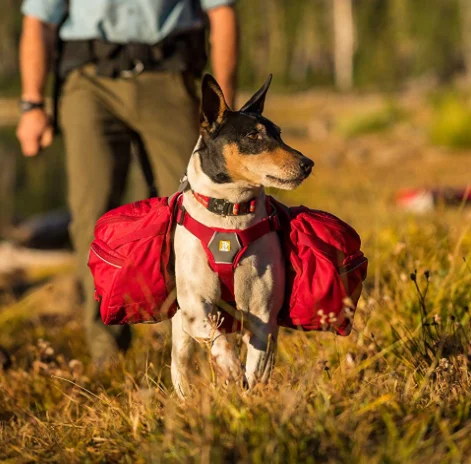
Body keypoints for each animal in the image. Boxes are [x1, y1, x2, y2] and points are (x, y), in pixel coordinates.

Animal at [171, 74, 316, 396]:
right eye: (252, 136)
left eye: (279, 134)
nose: (308, 164)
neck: (230, 212)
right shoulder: (197, 307)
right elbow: (218, 340)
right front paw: (228, 366)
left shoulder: (263, 316)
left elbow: (257, 371)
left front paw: (249, 392)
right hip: (181, 335)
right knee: (183, 366)